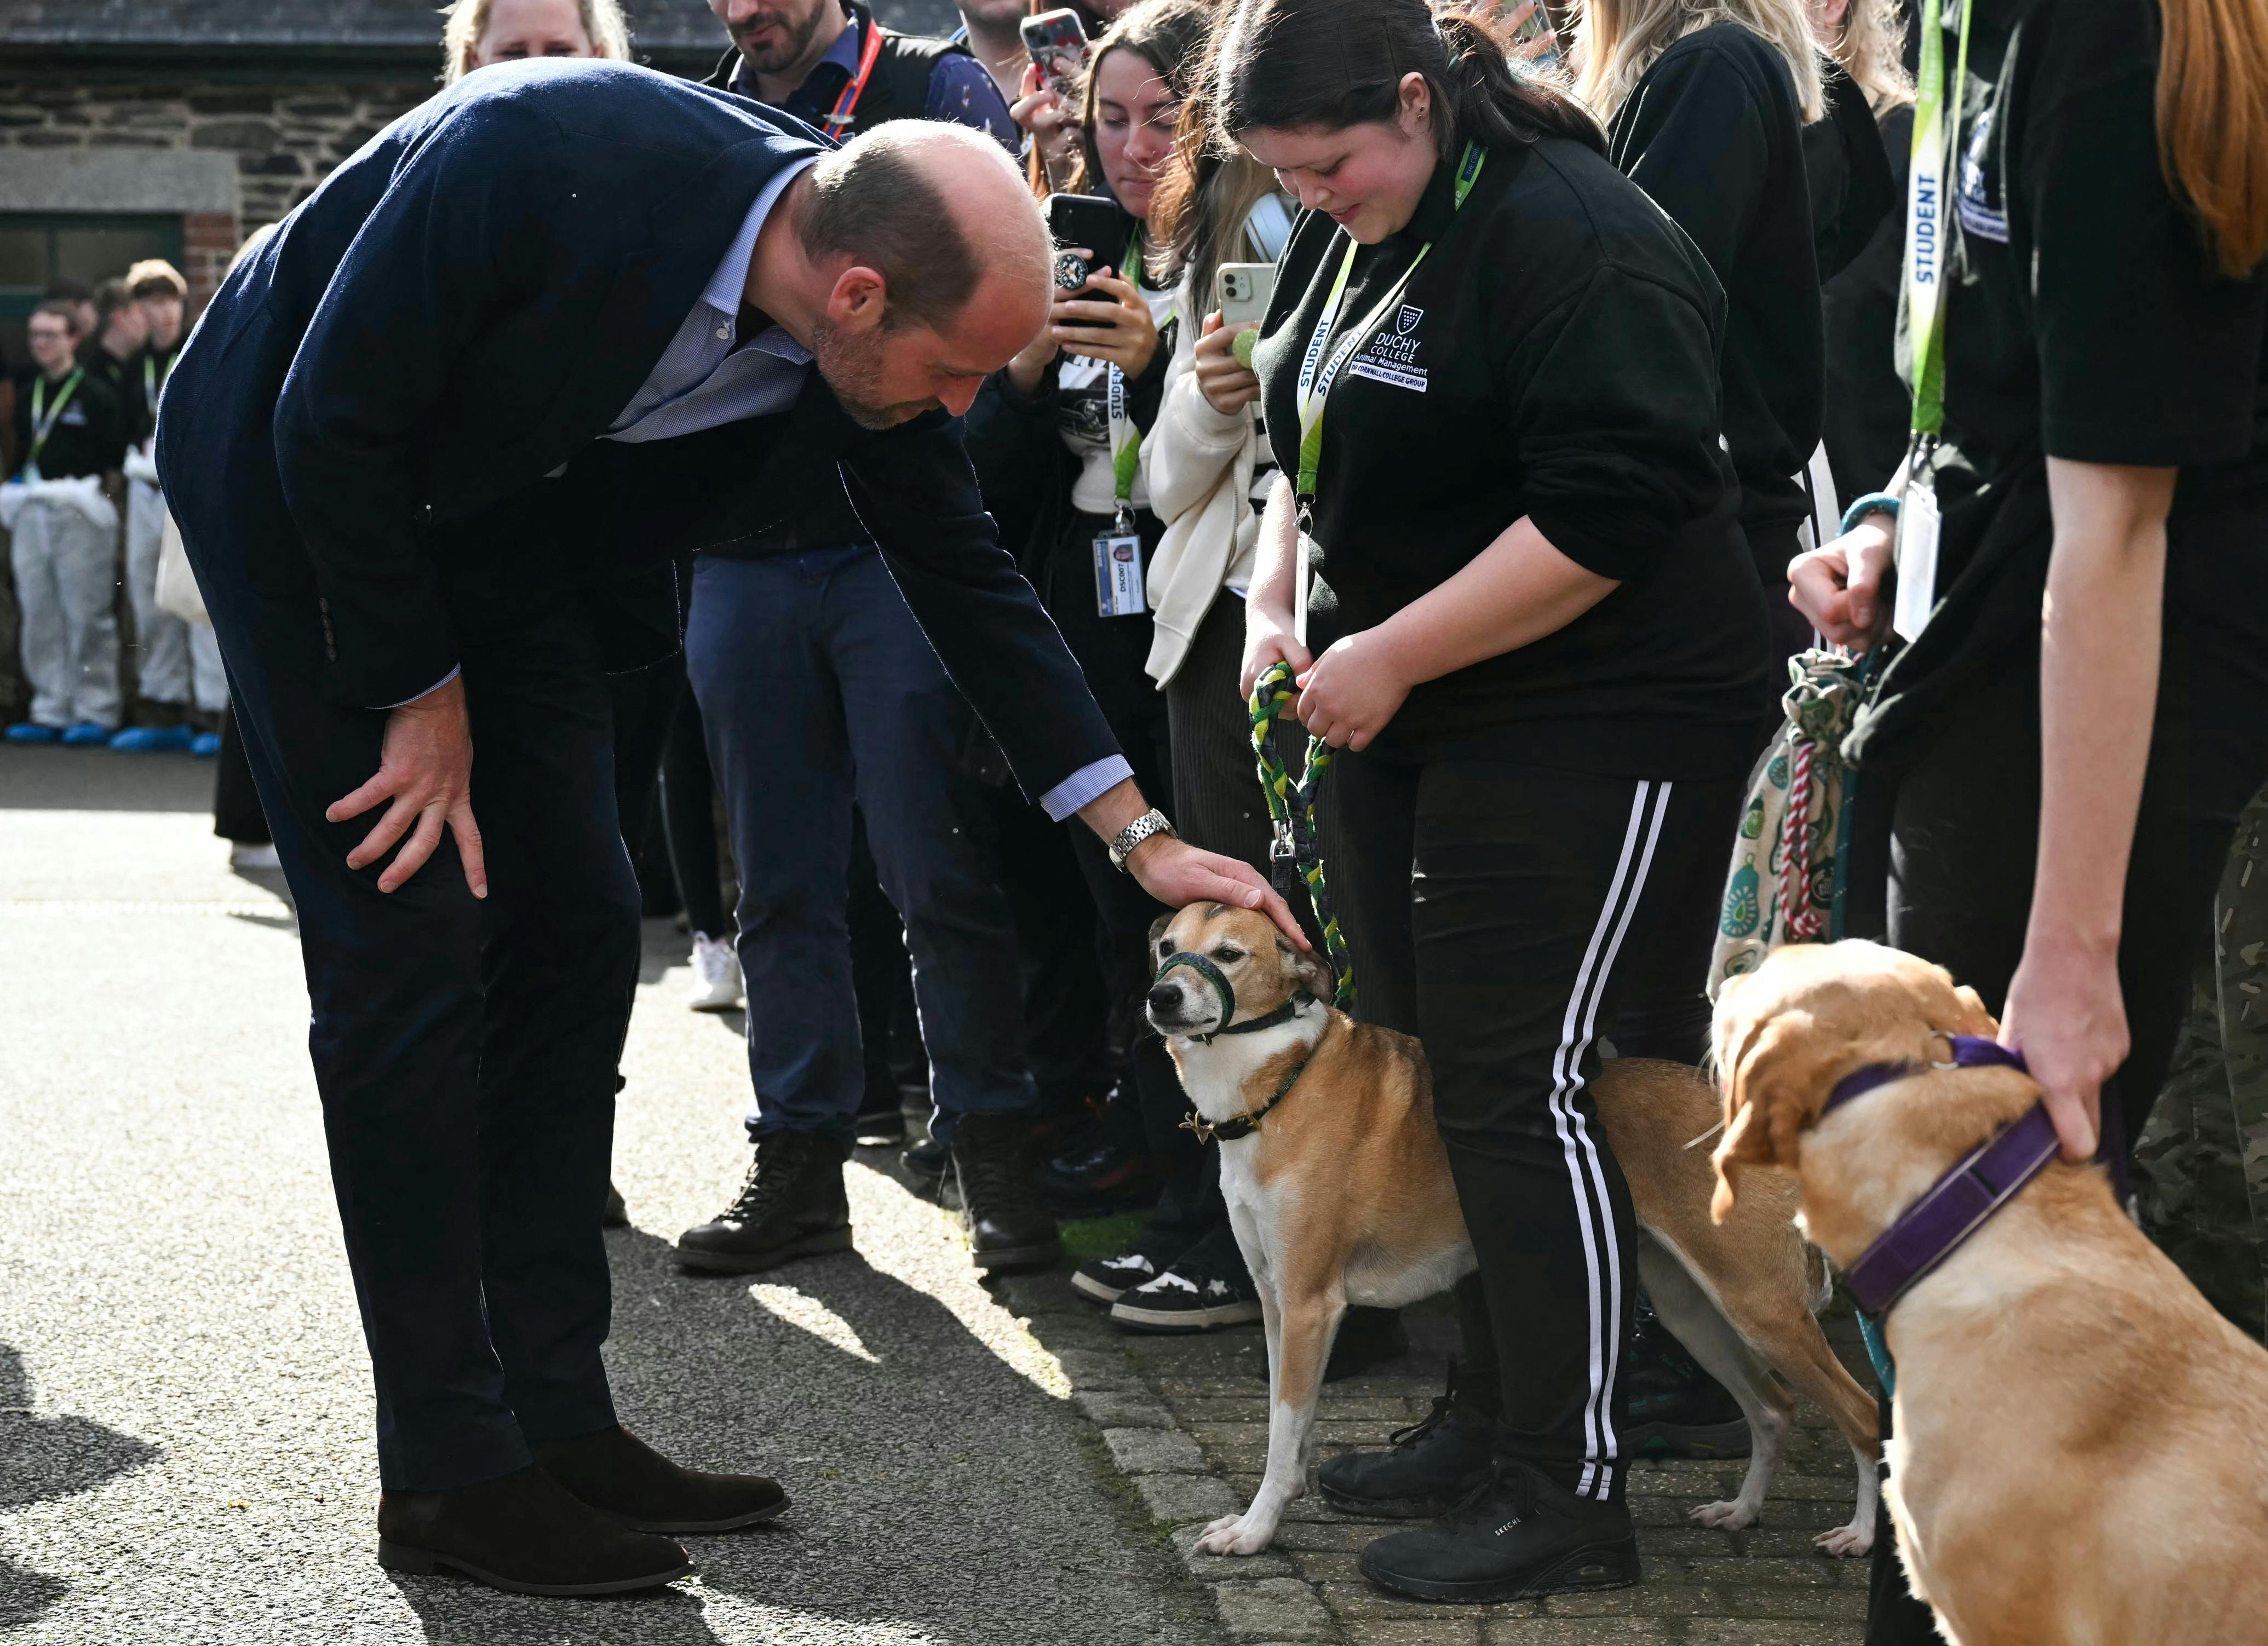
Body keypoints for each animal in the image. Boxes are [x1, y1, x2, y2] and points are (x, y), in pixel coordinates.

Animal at [1152, 902, 1877, 1559]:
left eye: (1228, 955)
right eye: (1164, 946)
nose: (1162, 996)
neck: (1279, 1082)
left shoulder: (1310, 1304)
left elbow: (1282, 1432)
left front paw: (1255, 1530)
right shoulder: (1277, 1303)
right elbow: (1290, 1428)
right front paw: (1270, 1510)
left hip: (1761, 1308)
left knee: (1864, 1415)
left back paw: (1861, 1535)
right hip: (1691, 1307)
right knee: (1773, 1408)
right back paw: (1742, 1511)